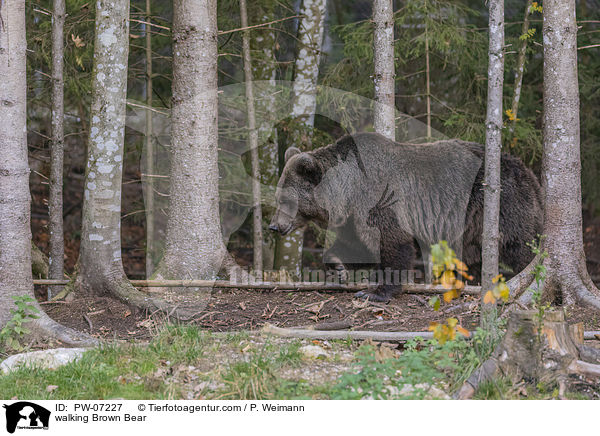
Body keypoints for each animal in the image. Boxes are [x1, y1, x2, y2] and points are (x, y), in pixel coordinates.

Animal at [270, 133, 544, 302]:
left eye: (286, 200)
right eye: (277, 197)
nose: (274, 226)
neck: (348, 192)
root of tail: (529, 172)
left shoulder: (380, 200)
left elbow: (392, 243)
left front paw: (376, 292)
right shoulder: (354, 218)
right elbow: (357, 246)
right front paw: (337, 266)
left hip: (503, 205)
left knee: (520, 245)